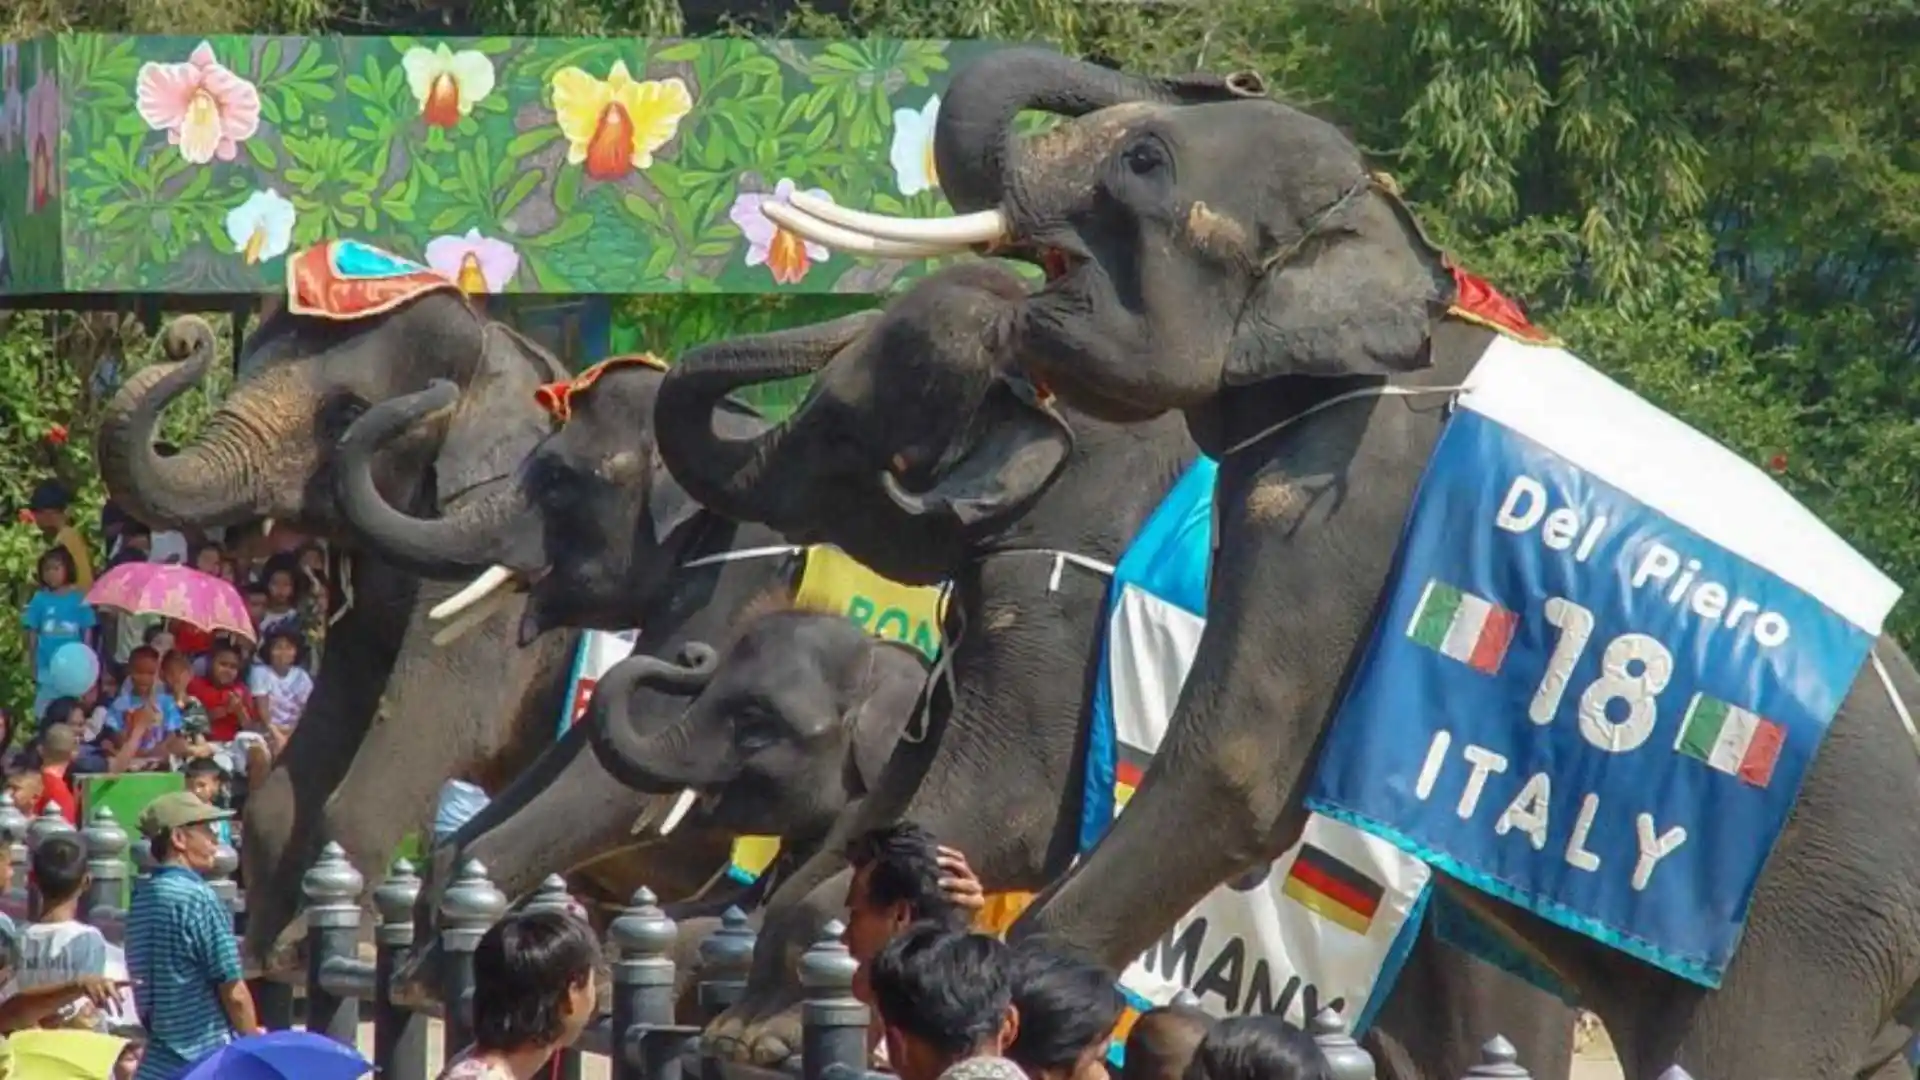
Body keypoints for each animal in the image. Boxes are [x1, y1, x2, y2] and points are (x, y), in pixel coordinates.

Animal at [96, 296, 580, 970]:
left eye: (349, 415)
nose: (185, 336)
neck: (494, 348)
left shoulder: (503, 562)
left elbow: (442, 721)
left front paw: (315, 948)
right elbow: (337, 708)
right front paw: (265, 951)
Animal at [646, 263, 1577, 1080]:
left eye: (842, 429)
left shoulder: (1067, 583)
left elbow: (1013, 808)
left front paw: (758, 1039)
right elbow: (885, 807)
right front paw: (740, 1033)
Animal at [755, 46, 1920, 1080]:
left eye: (1144, 163)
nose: (1236, 70)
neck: (1396, 245)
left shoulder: (1349, 493)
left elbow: (1221, 779)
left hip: (1812, 928)